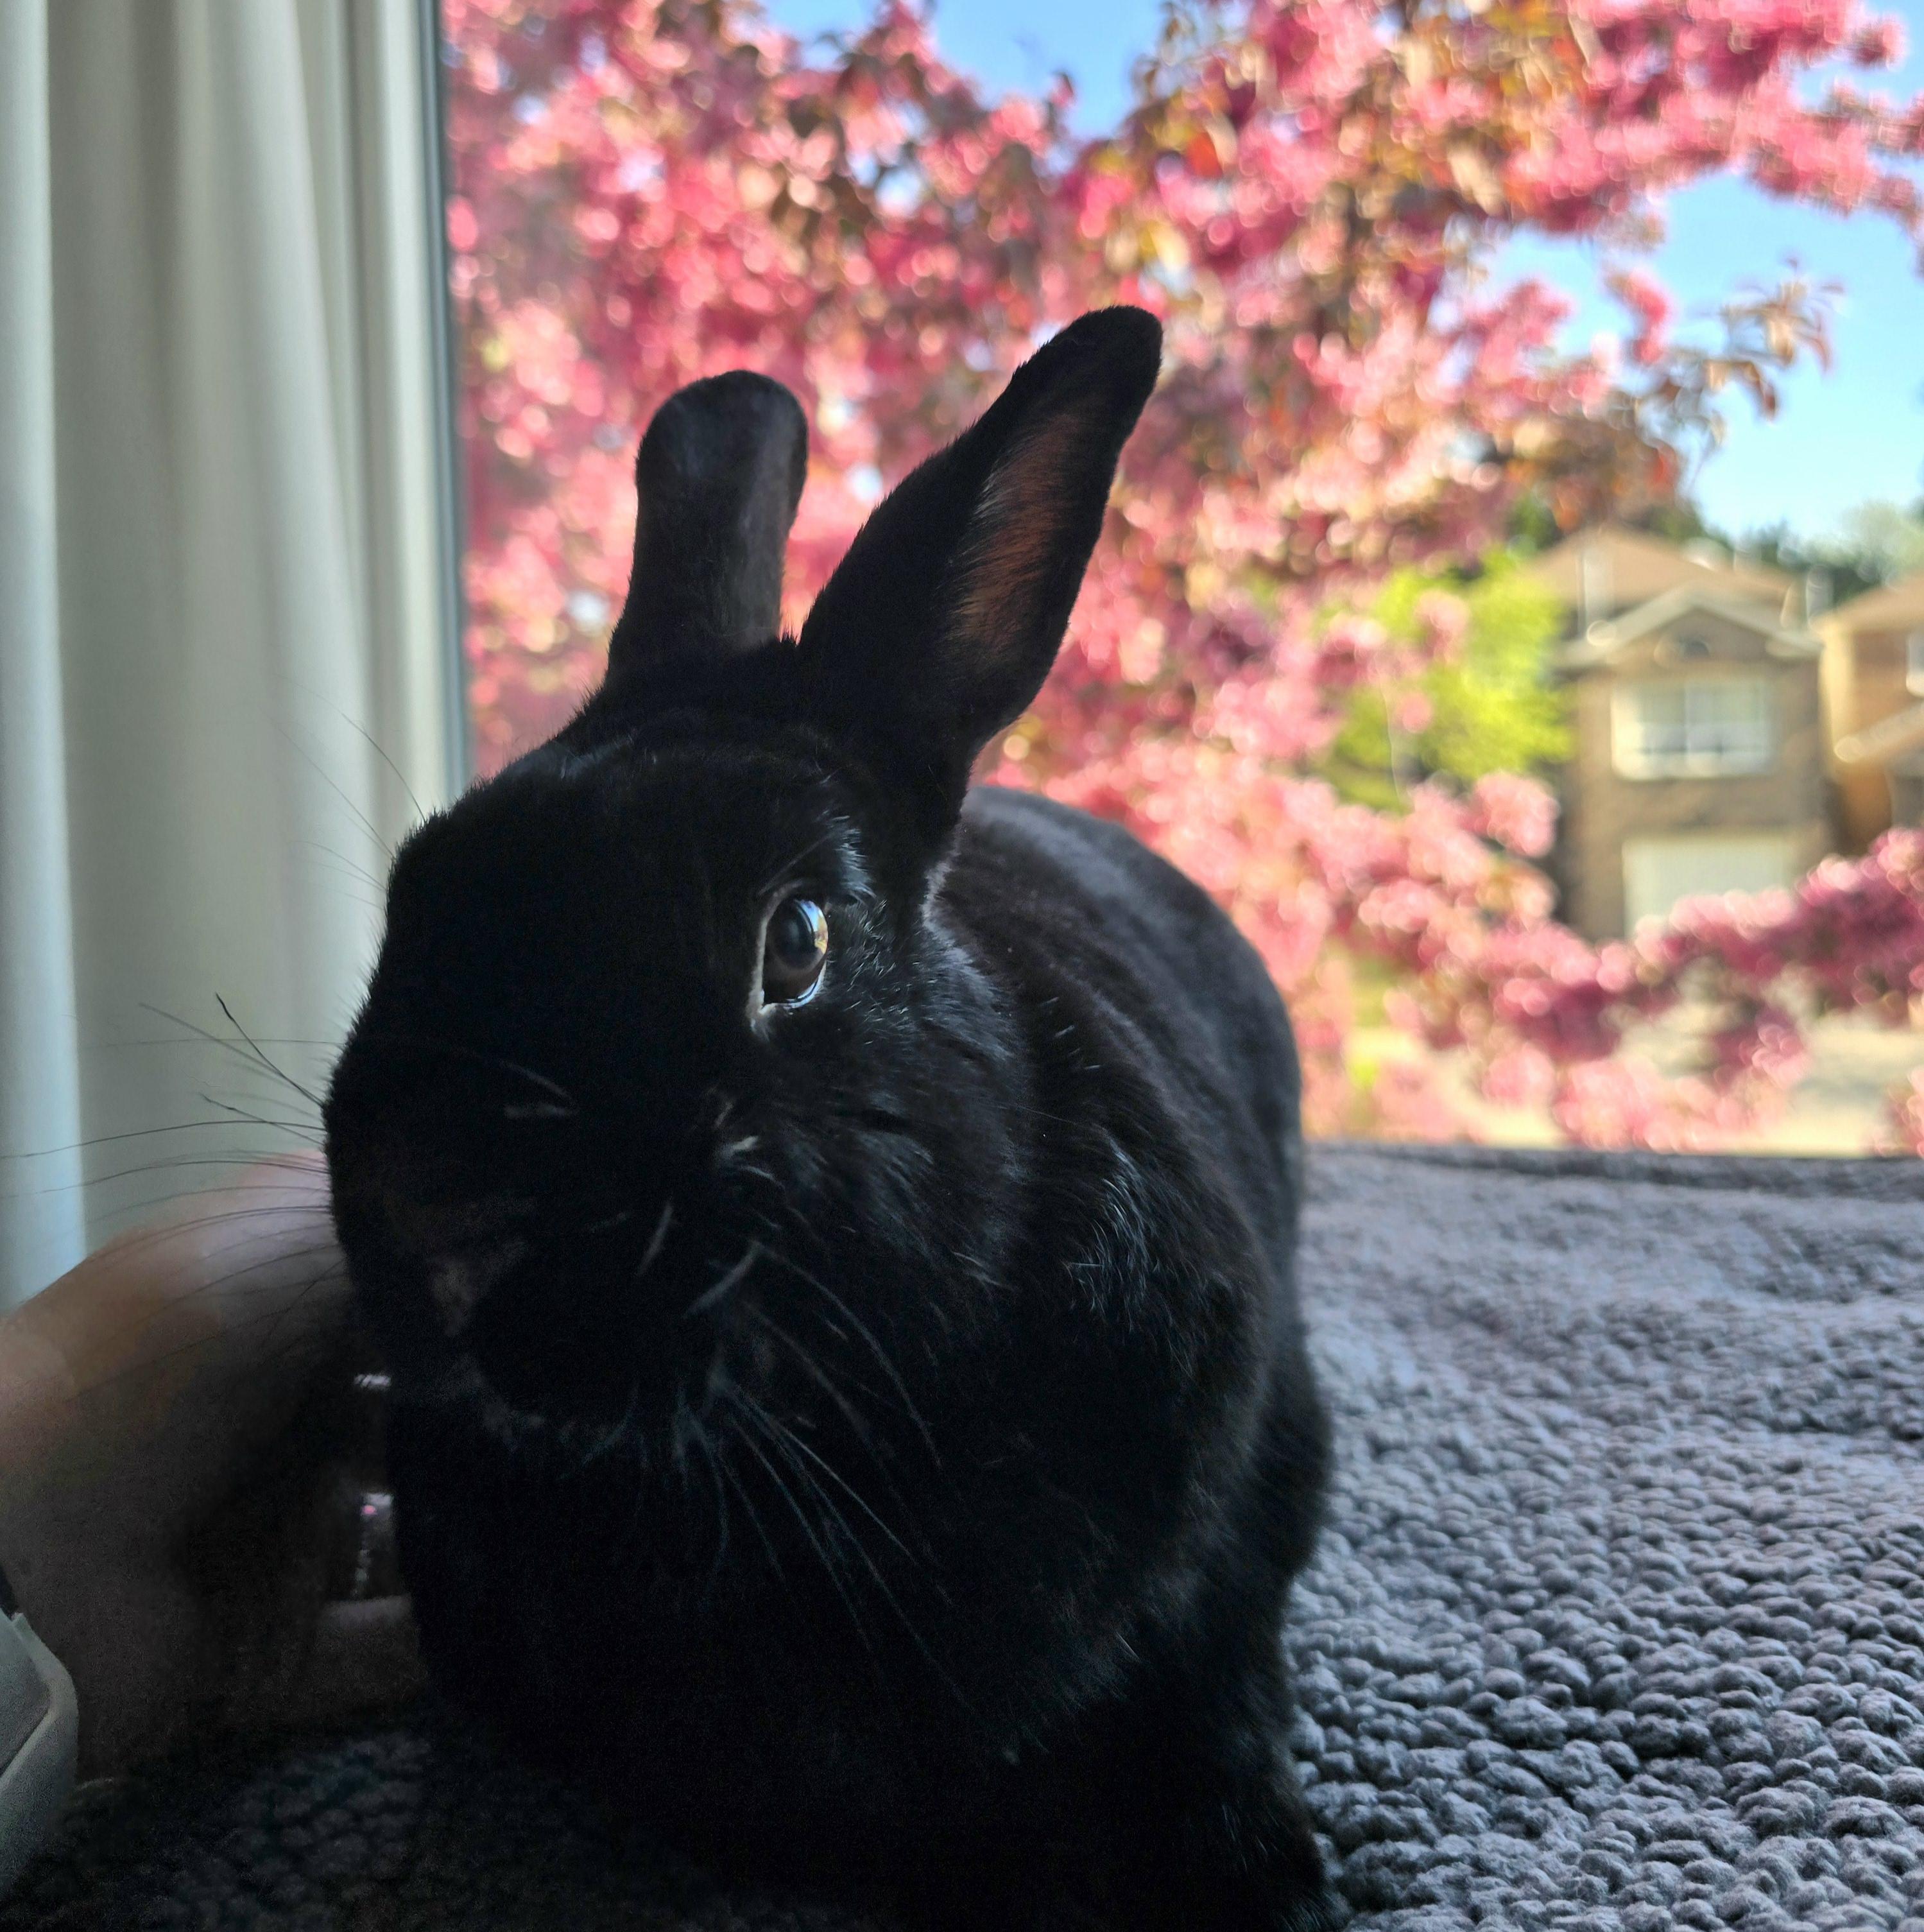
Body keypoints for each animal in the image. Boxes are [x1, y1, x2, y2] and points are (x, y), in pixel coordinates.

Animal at [324, 306, 1337, 1931]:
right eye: (415, 887)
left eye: (791, 944)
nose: (432, 1215)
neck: (802, 1456)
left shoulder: (1253, 1515)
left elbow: (1223, 1694)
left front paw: (1261, 1875)